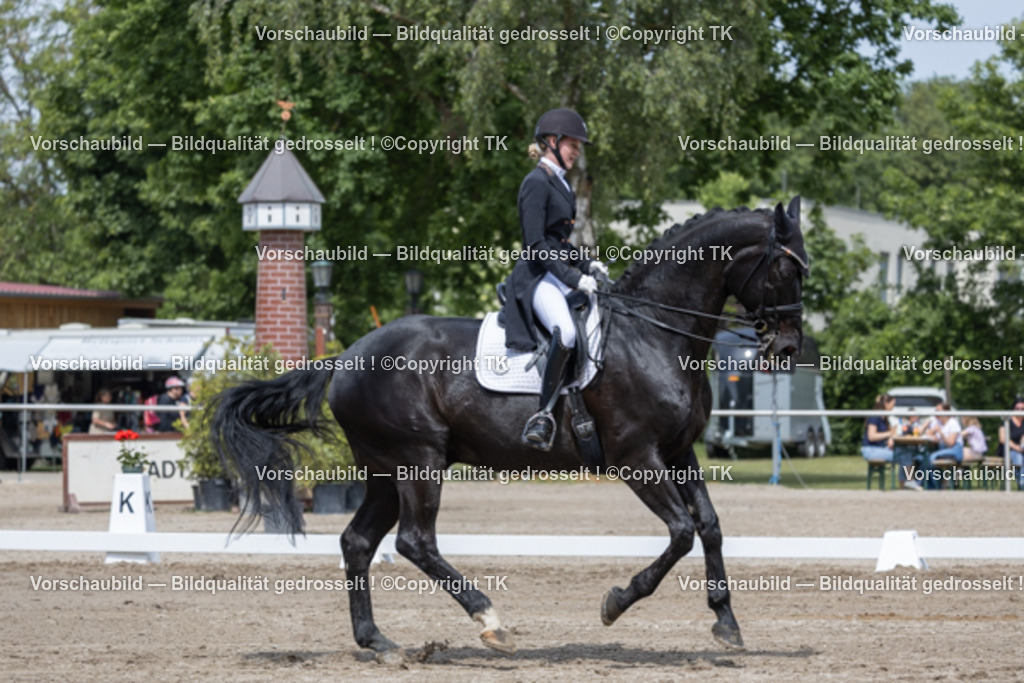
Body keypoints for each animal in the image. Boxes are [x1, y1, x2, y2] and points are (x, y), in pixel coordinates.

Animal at [210, 196, 808, 659]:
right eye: (786, 270)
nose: (786, 350)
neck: (655, 333)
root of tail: (346, 356)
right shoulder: (636, 456)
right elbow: (682, 531)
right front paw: (615, 603)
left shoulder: (679, 451)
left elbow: (709, 525)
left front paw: (726, 623)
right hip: (418, 460)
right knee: (414, 541)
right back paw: (491, 622)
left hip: (386, 469)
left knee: (359, 542)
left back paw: (378, 641)